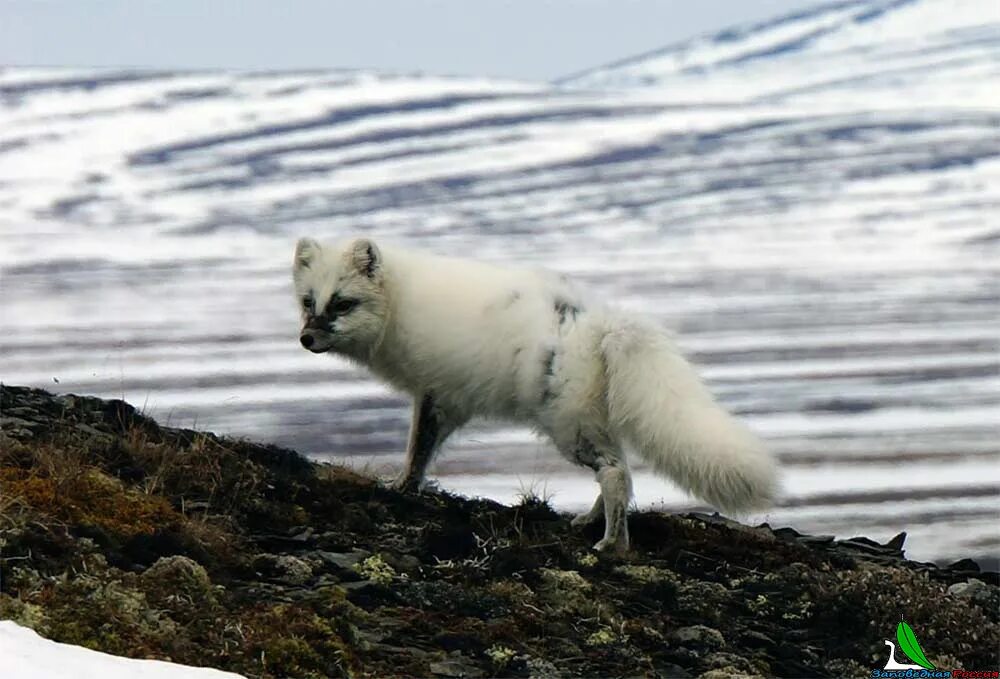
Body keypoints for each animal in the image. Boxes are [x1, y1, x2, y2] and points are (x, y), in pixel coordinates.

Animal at [292, 238, 776, 552]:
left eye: (343, 303)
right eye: (307, 301)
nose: (305, 340)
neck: (398, 303)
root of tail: (604, 323)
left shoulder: (434, 391)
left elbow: (418, 449)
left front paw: (401, 487)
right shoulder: (445, 397)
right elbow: (423, 450)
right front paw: (405, 486)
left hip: (568, 426)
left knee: (615, 474)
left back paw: (611, 545)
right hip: (594, 421)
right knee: (622, 470)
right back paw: (590, 522)